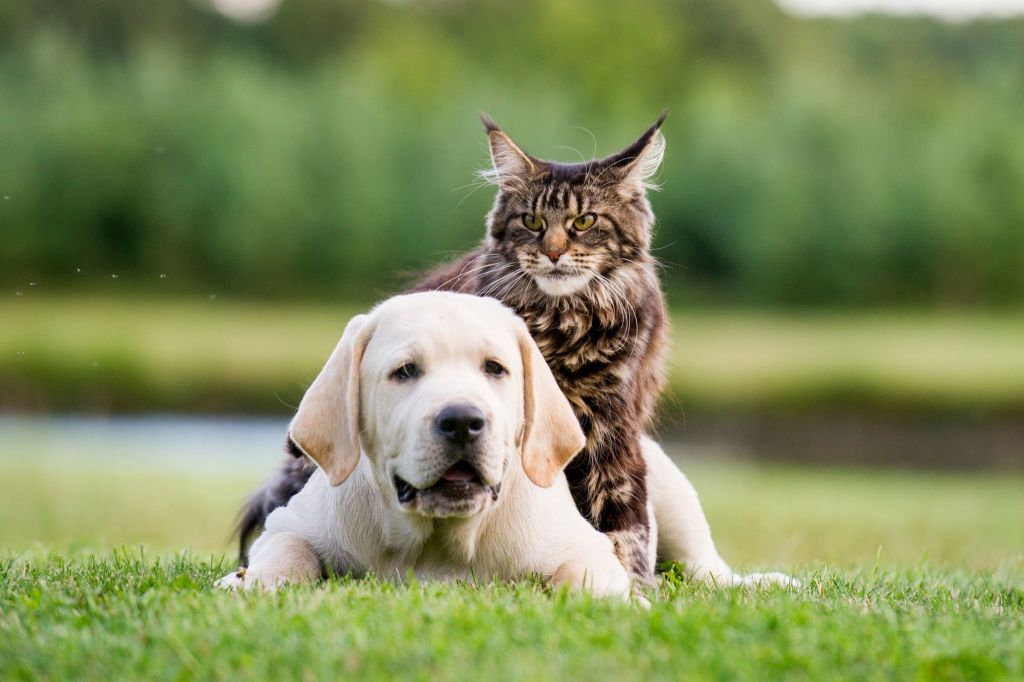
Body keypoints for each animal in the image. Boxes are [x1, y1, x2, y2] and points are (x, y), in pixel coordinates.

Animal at [216, 292, 790, 593]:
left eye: (495, 368)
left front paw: (620, 601)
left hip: (668, 494)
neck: (439, 542)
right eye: (404, 372)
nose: (462, 421)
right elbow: (288, 555)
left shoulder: (587, 544)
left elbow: (587, 574)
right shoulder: (290, 524)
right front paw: (249, 582)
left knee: (706, 569)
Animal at [240, 115, 671, 585]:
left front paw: (634, 583)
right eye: (533, 221)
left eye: (585, 221)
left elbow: (624, 528)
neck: (564, 326)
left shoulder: (613, 433)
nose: (554, 253)